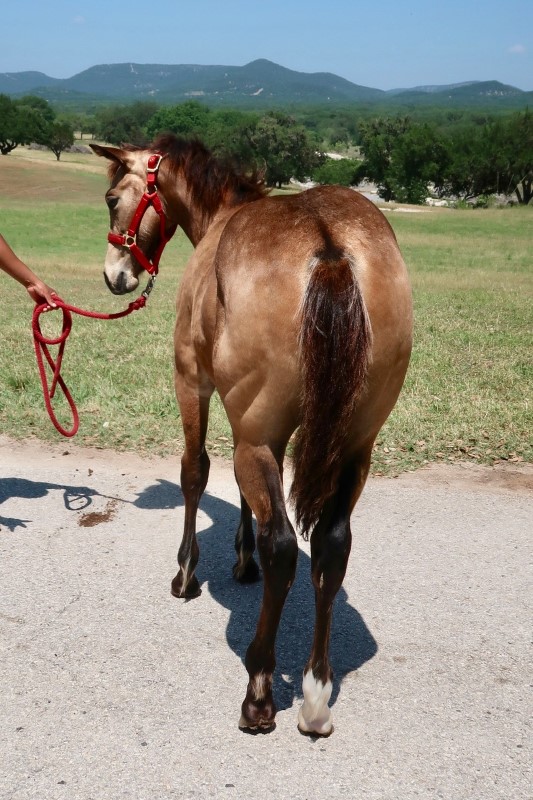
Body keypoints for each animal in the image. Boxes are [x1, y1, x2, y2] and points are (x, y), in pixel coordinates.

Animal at [91, 136, 414, 736]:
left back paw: (260, 690)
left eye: (111, 198)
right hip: (353, 448)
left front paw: (186, 571)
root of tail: (329, 248)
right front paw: (242, 561)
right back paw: (314, 694)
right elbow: (247, 499)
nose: (115, 276)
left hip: (257, 436)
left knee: (285, 547)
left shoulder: (192, 380)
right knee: (331, 545)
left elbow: (195, 473)